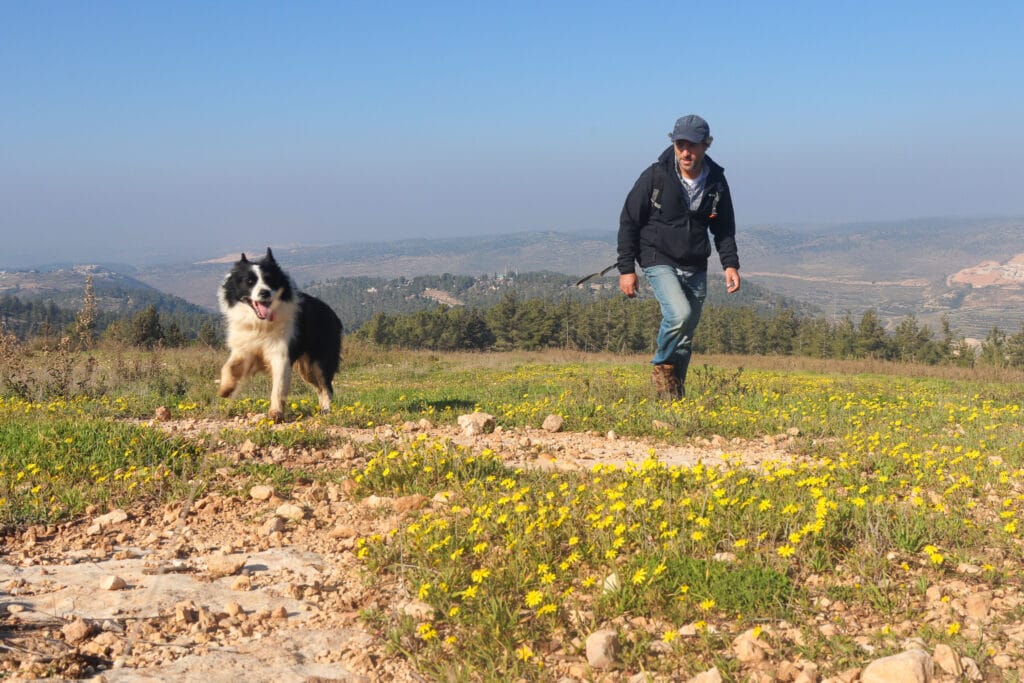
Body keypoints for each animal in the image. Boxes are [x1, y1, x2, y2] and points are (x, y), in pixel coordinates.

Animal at [216, 249, 344, 421]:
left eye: (270, 280)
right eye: (249, 281)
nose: (265, 293)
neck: (260, 323)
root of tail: (333, 314)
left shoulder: (281, 353)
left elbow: (278, 385)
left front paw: (275, 413)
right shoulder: (245, 347)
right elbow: (228, 366)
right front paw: (225, 389)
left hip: (319, 359)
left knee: (326, 385)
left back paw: (326, 410)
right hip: (306, 369)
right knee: (318, 387)